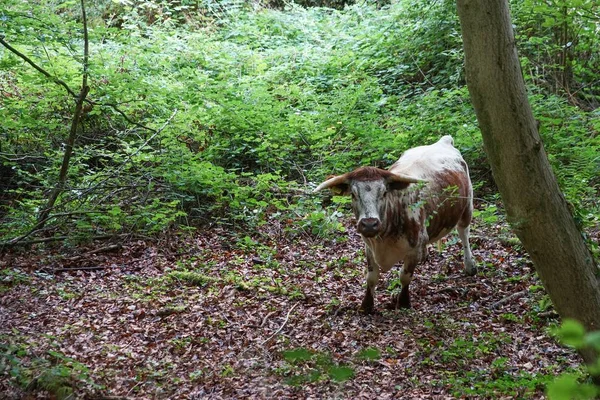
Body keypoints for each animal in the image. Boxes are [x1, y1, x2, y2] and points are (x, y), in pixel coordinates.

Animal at [314, 135, 474, 312]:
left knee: (464, 233)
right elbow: (371, 277)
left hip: (467, 207)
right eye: (354, 195)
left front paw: (403, 301)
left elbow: (404, 276)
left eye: (384, 192)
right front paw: (366, 305)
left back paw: (469, 265)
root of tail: (443, 141)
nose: (369, 224)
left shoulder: (413, 249)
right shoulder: (369, 247)